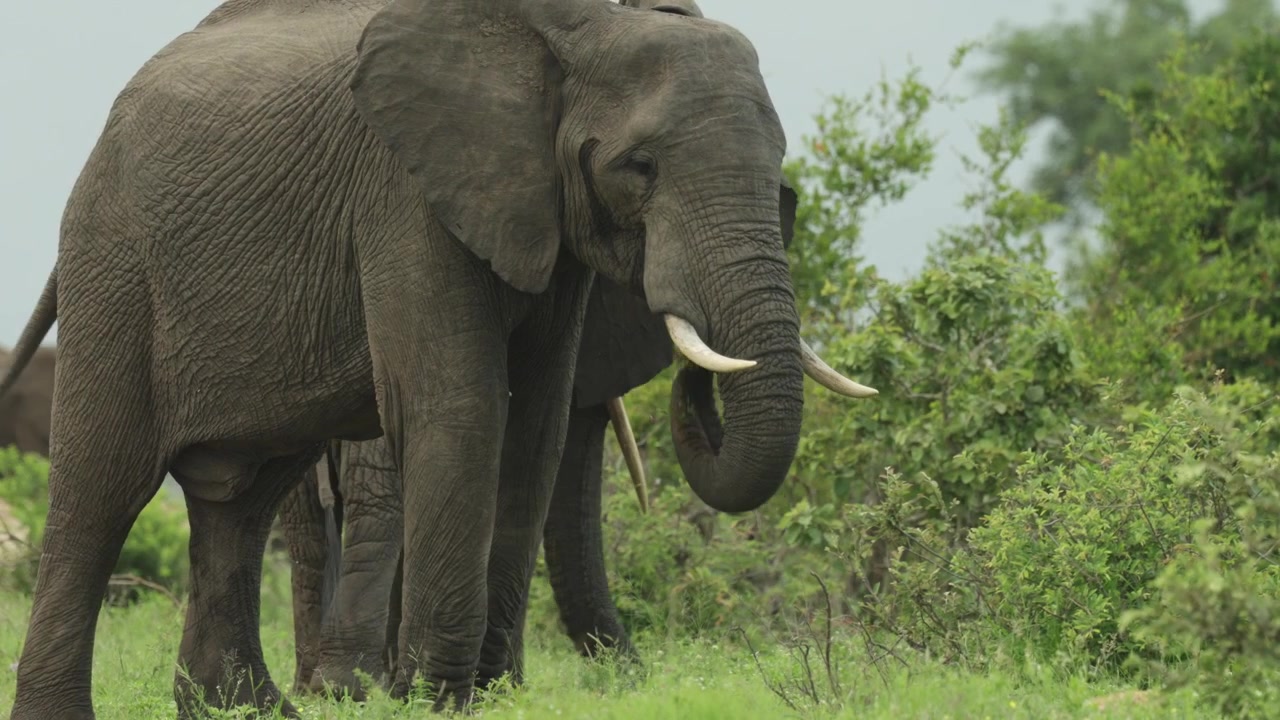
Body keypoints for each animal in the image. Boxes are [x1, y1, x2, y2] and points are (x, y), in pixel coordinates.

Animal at [0, 0, 876, 717]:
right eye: (641, 167)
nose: (700, 370)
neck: (579, 28)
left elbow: (536, 423)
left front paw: (483, 693)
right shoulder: (404, 190)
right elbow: (464, 407)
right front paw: (435, 698)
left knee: (240, 500)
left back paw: (248, 711)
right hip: (115, 260)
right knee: (103, 488)